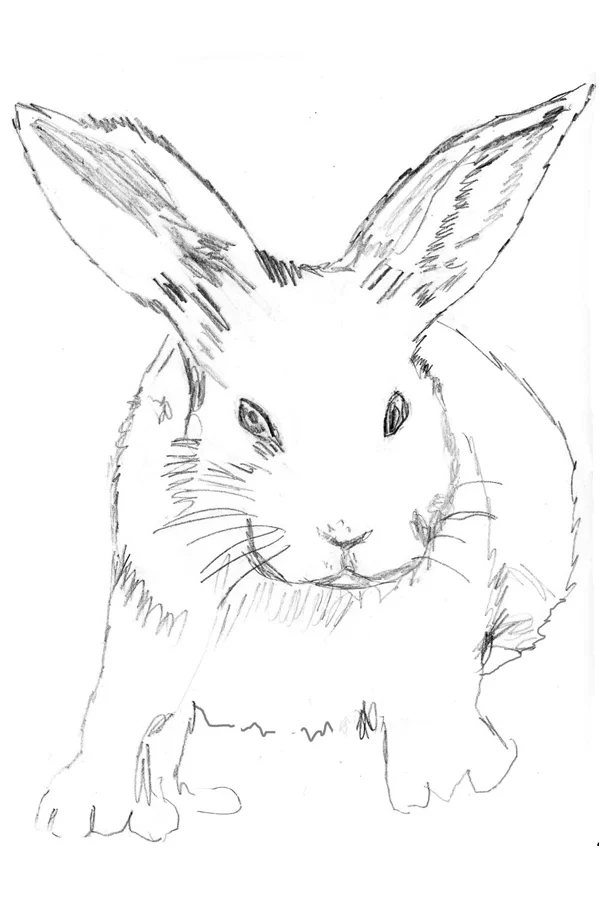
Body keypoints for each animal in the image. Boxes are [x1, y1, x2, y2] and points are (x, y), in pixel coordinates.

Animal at [14, 83, 592, 840]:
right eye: (251, 418)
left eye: (397, 411)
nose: (347, 533)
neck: (307, 598)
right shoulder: (153, 605)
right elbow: (127, 702)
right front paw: (86, 812)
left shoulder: (445, 607)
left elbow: (431, 696)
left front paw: (453, 785)